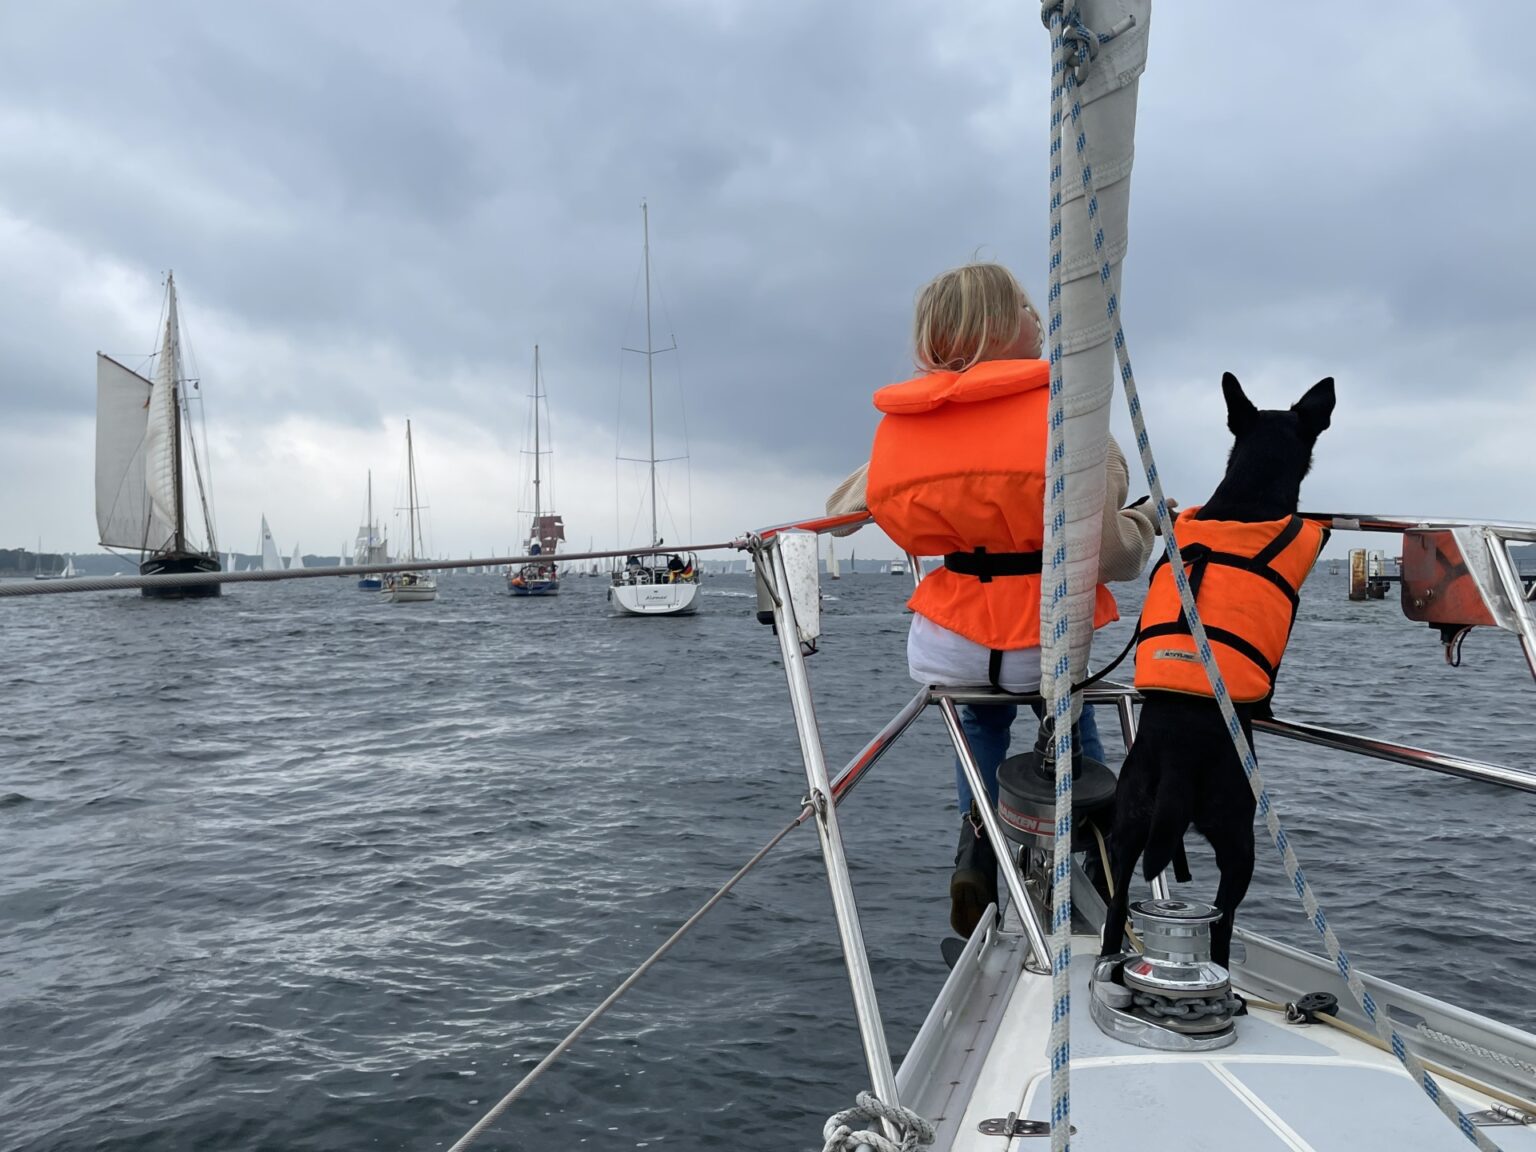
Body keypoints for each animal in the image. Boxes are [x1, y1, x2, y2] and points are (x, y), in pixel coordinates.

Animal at [1105, 374, 1333, 970]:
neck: (1246, 497)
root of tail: (1179, 763)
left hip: (1128, 820)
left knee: (1114, 909)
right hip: (1239, 834)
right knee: (1225, 916)